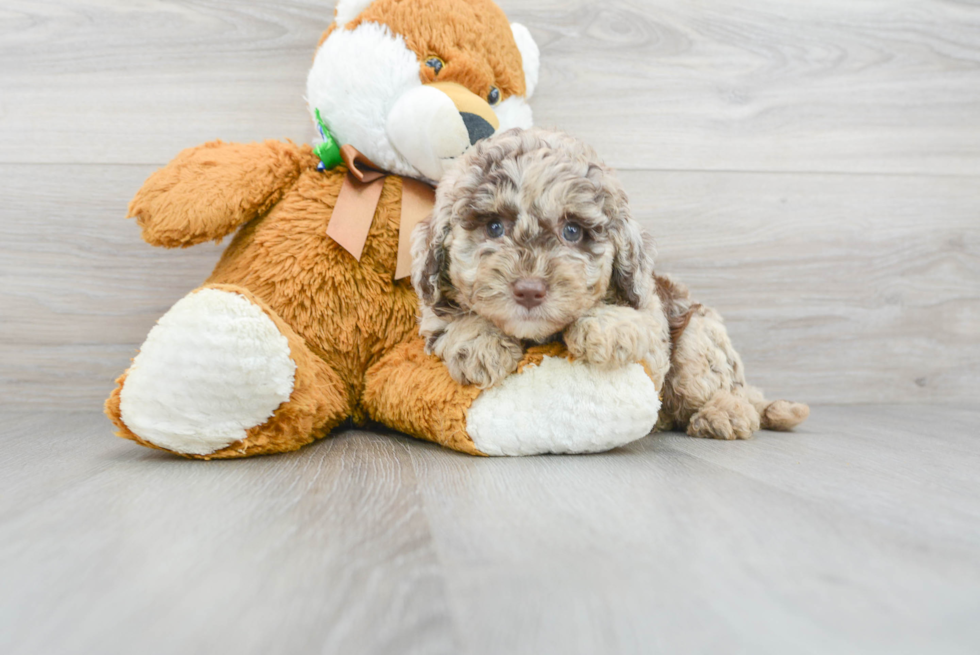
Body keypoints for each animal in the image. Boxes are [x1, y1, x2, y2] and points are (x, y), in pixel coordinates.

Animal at [410, 127, 808, 440]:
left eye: (572, 231)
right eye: (494, 227)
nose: (529, 290)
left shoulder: (652, 315)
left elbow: (635, 320)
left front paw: (605, 329)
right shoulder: (431, 313)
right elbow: (451, 321)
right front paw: (481, 344)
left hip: (698, 340)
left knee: (725, 391)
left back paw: (724, 414)